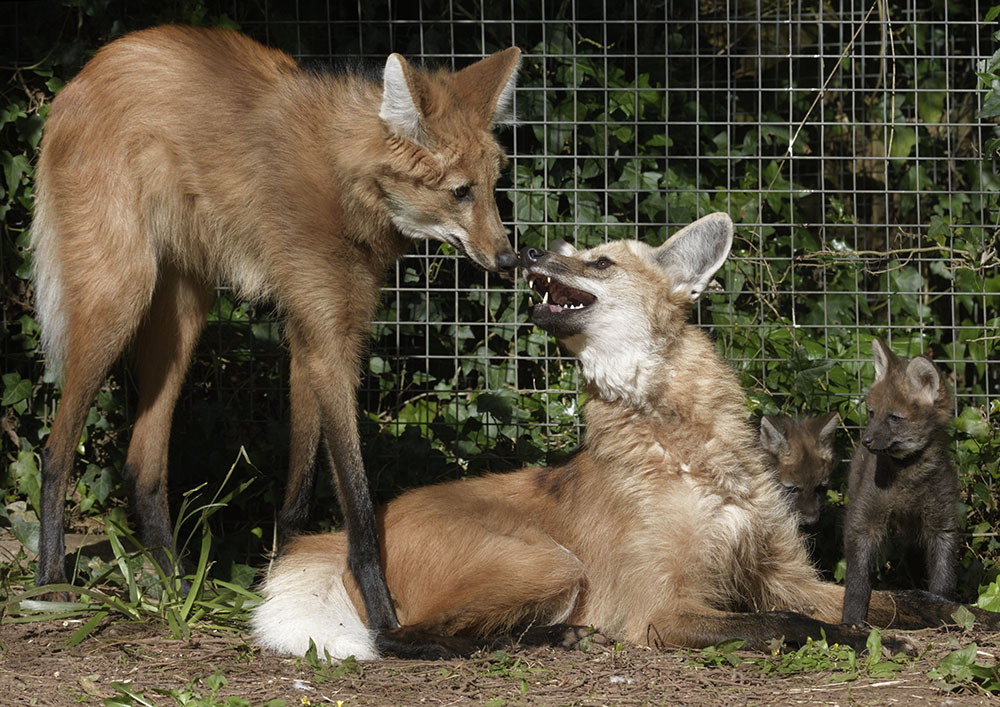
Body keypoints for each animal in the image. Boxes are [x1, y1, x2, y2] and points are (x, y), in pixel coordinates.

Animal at [31, 24, 520, 652]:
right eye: (461, 192)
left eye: (493, 186)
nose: (509, 260)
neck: (348, 185)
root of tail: (81, 79)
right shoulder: (328, 341)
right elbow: (358, 501)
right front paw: (385, 624)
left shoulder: (316, 333)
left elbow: (300, 491)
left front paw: (282, 582)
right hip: (120, 295)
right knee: (55, 448)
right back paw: (51, 583)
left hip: (184, 309)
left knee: (142, 464)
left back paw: (179, 589)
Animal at [841, 339, 960, 626]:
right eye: (872, 413)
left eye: (894, 418)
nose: (866, 441)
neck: (909, 480)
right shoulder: (864, 524)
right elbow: (858, 582)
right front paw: (852, 620)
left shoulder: (941, 525)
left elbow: (943, 580)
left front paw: (943, 611)